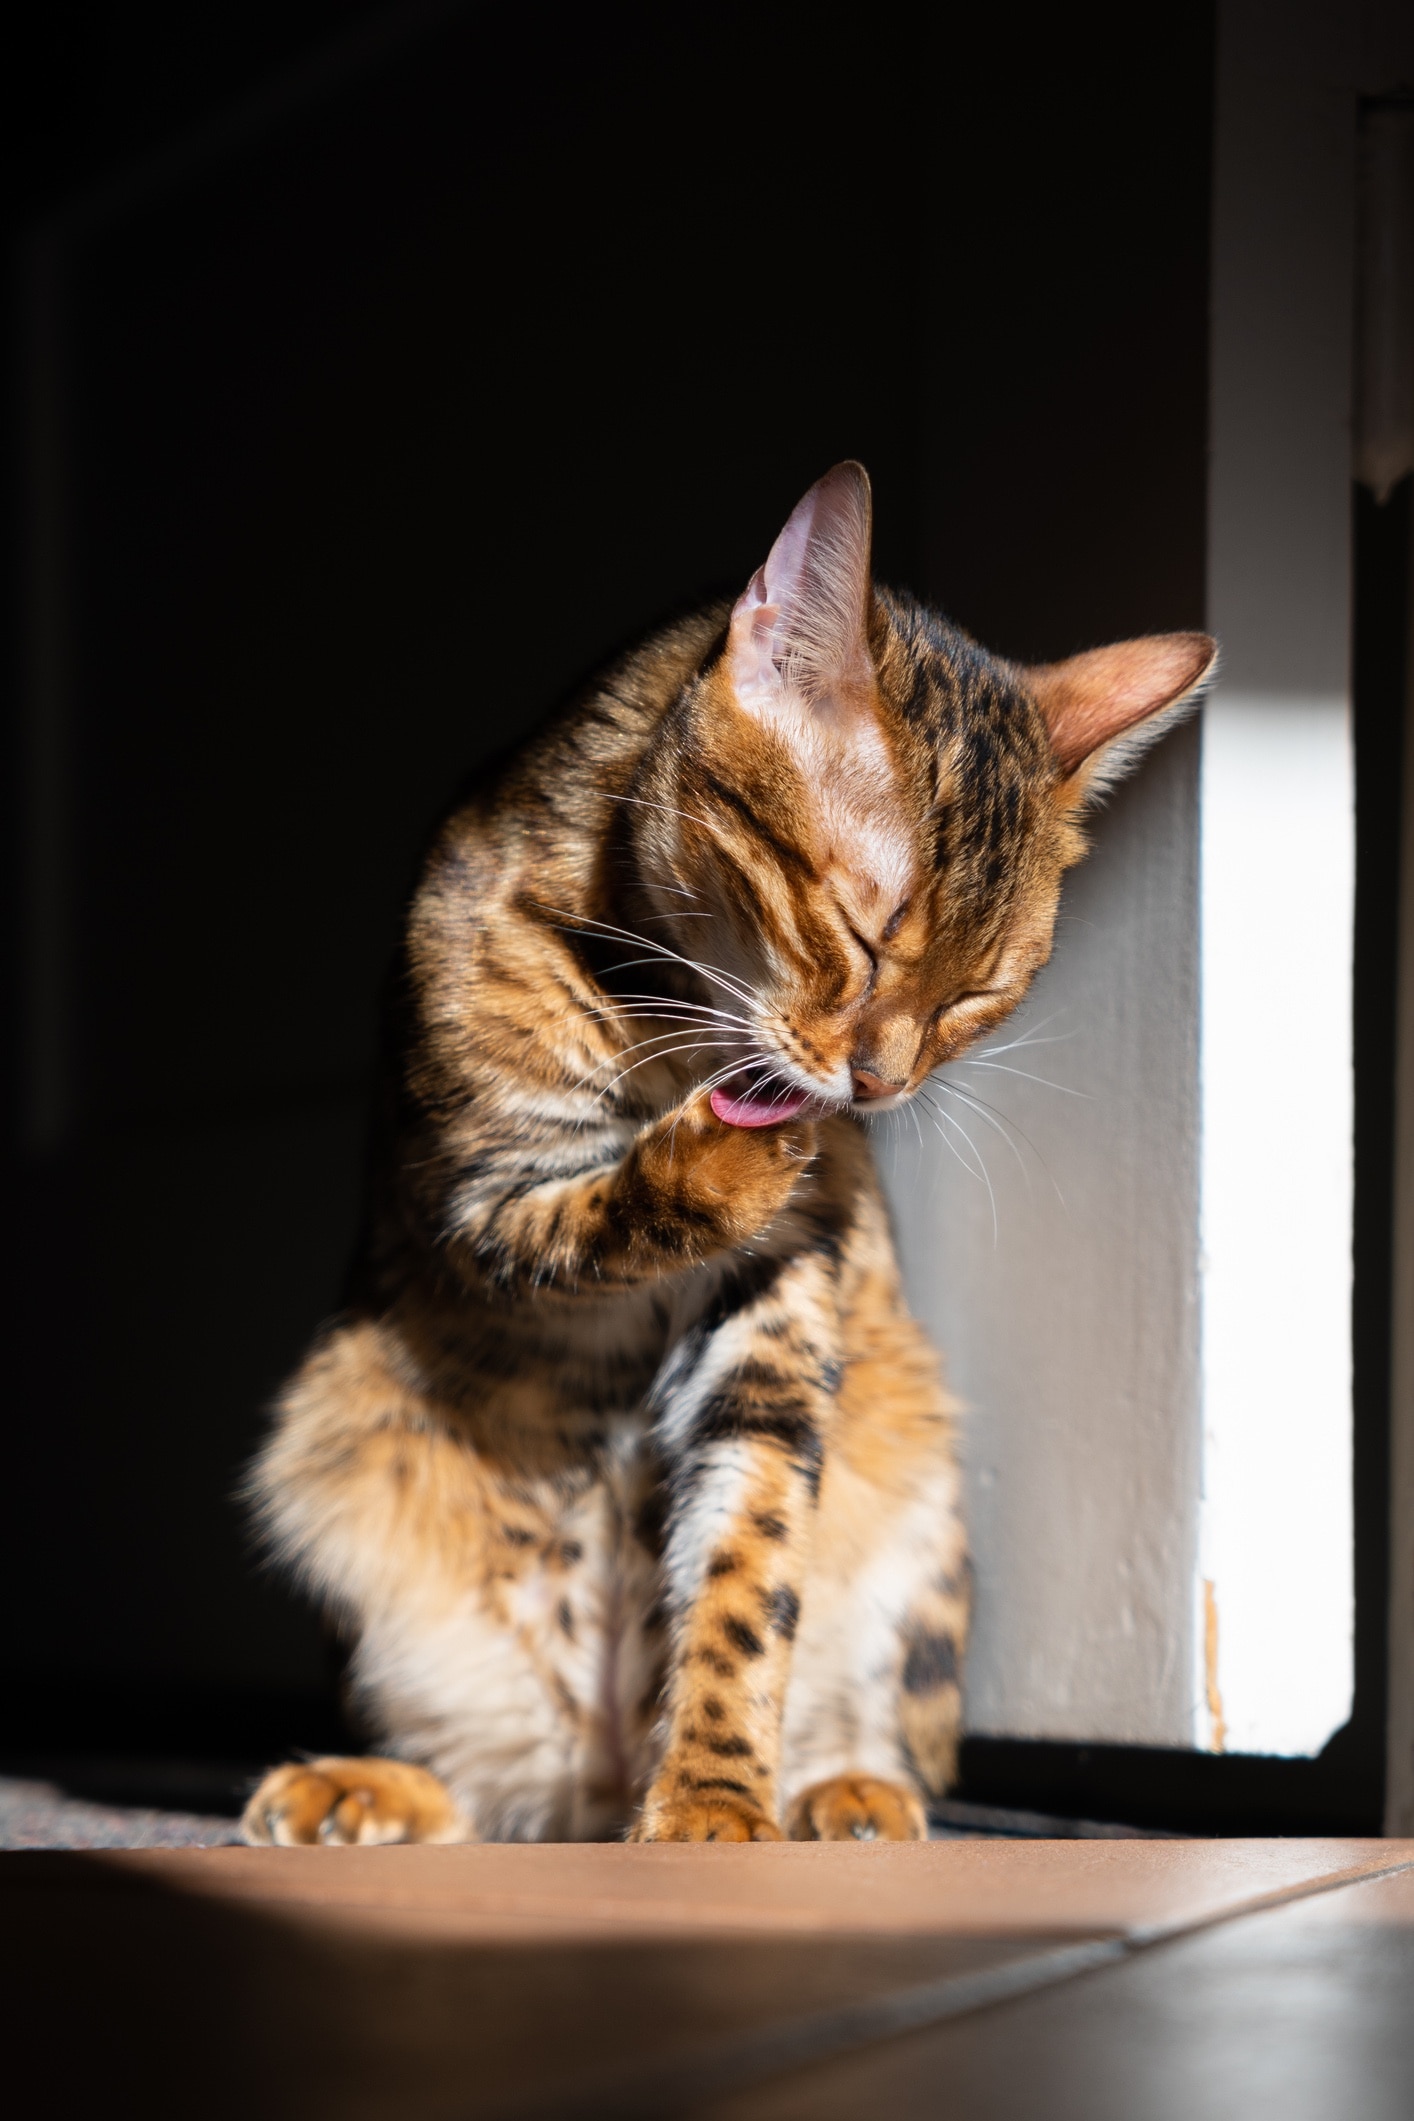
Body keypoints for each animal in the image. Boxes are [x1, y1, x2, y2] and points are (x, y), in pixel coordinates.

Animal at [237, 460, 1212, 1841]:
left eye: (980, 994)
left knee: (871, 1724)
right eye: (862, 929)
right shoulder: (473, 1198)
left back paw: (845, 1794)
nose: (877, 1085)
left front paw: (711, 1804)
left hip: (916, 1496)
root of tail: (592, 1779)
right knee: (479, 1788)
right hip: (342, 1460)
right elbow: (593, 1213)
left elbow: (747, 1576)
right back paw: (362, 1787)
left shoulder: (778, 1315)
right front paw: (733, 1160)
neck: (675, 1032)